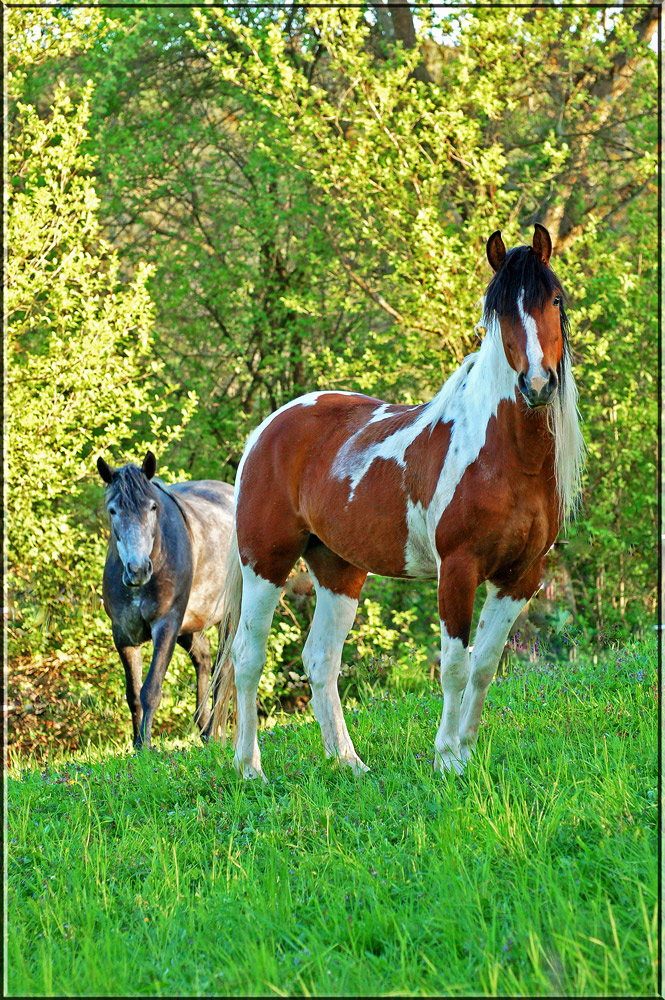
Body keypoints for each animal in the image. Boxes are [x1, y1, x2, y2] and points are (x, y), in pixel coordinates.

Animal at [97, 450, 233, 748]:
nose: (137, 569)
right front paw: (137, 746)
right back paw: (204, 727)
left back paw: (213, 732)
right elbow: (133, 694)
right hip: (190, 626)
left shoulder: (166, 624)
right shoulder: (123, 634)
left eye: (152, 507)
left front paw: (147, 747)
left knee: (222, 667)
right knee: (204, 658)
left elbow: (151, 689)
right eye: (113, 510)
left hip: (228, 616)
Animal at [206, 227, 580, 780]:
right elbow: (455, 665)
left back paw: (348, 763)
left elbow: (485, 665)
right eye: (499, 311)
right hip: (266, 564)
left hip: (338, 570)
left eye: (554, 299)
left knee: (320, 660)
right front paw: (448, 758)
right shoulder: (458, 569)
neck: (505, 455)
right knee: (247, 657)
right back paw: (250, 766)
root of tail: (267, 429)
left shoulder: (521, 576)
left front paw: (468, 750)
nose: (536, 384)